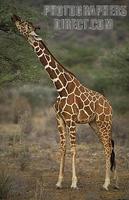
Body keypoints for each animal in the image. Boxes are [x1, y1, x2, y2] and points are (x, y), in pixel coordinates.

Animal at [11, 14, 118, 191]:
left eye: (26, 25)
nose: (14, 17)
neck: (60, 87)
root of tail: (110, 105)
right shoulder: (59, 119)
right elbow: (63, 148)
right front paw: (59, 182)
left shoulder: (71, 120)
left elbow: (74, 149)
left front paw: (74, 183)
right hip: (94, 124)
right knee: (109, 144)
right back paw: (114, 183)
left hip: (105, 122)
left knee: (108, 147)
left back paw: (106, 184)